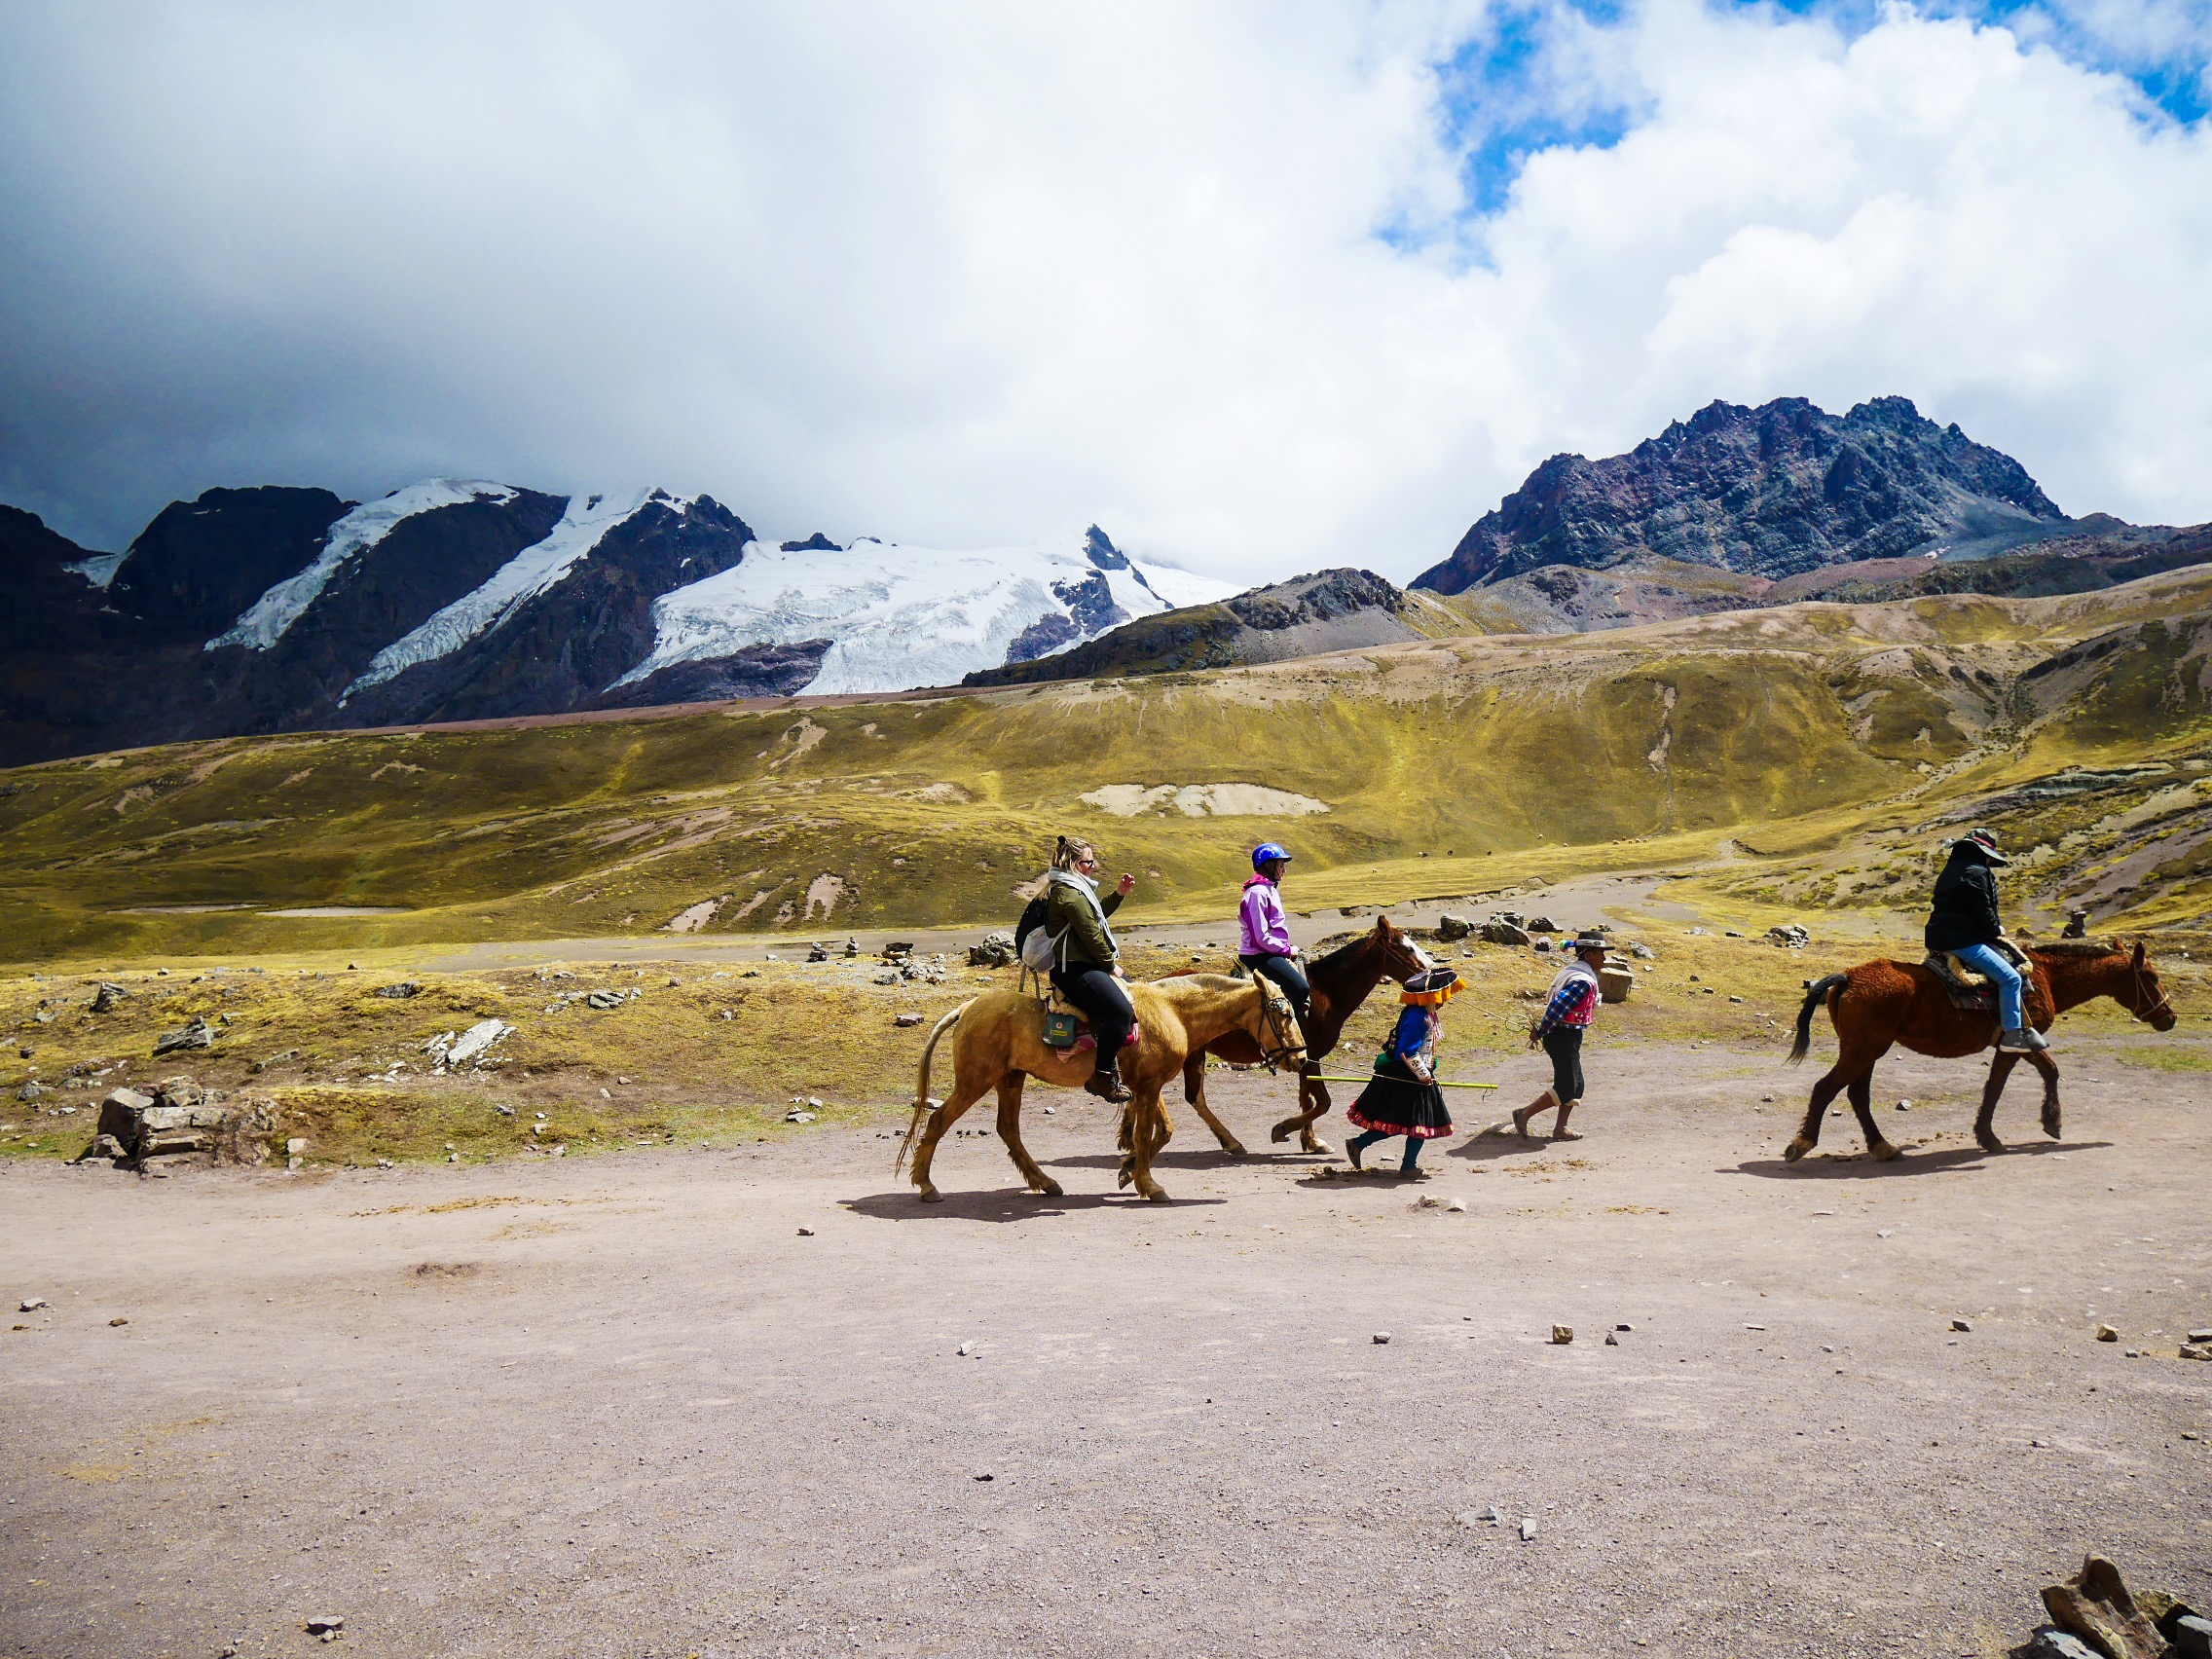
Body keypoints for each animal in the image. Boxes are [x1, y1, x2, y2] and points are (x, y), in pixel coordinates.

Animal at [893, 973, 1300, 1212]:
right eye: (1285, 1014)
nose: (1300, 1056)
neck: (1173, 1011)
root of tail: (967, 1007)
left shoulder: (1144, 1086)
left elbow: (1161, 1132)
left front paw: (1127, 1171)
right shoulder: (1148, 1087)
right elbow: (1146, 1134)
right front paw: (1149, 1185)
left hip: (1010, 1078)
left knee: (1009, 1130)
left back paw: (1046, 1183)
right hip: (976, 1080)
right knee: (939, 1120)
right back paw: (926, 1186)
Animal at [1176, 915, 1433, 1159]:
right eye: (1407, 948)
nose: (1431, 971)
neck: (1326, 994)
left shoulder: (1303, 1058)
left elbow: (1307, 1099)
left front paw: (1310, 1141)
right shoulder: (1311, 1058)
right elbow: (1323, 1102)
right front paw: (1283, 1130)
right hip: (1193, 1054)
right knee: (1195, 1097)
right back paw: (1231, 1142)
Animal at [1778, 941, 2176, 1159]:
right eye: (2153, 977)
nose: (2170, 1018)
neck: (2046, 977)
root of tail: (1848, 977)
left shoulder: (2008, 1046)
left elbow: (1994, 1087)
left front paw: (1987, 1136)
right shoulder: (2022, 1040)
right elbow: (2045, 1072)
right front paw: (2052, 1123)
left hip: (1867, 1051)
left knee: (1857, 1095)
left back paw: (1882, 1147)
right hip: (1862, 1050)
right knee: (1827, 1089)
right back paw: (1801, 1144)